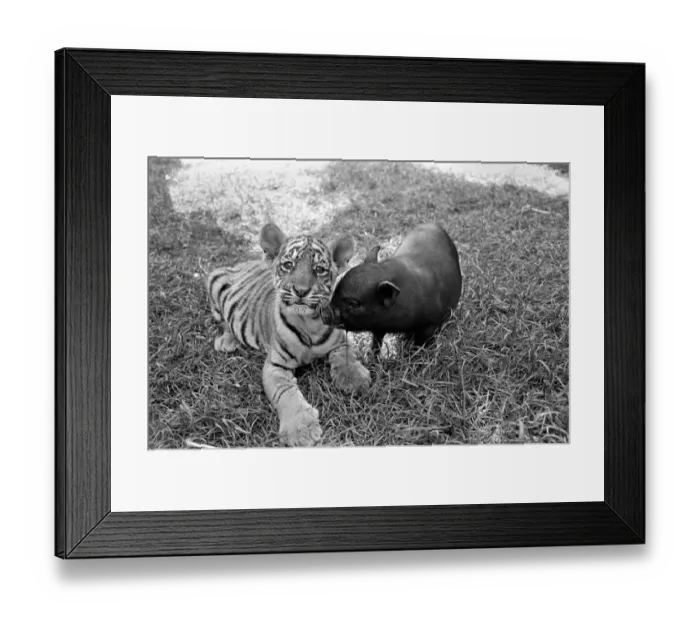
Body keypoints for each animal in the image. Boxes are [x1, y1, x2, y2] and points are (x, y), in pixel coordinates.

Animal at [207, 222, 371, 447]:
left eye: (319, 269)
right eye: (288, 265)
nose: (301, 291)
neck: (310, 323)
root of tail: (245, 262)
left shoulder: (340, 340)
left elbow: (347, 357)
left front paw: (356, 379)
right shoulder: (275, 365)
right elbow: (286, 393)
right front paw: (301, 431)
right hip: (213, 281)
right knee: (221, 317)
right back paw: (227, 340)